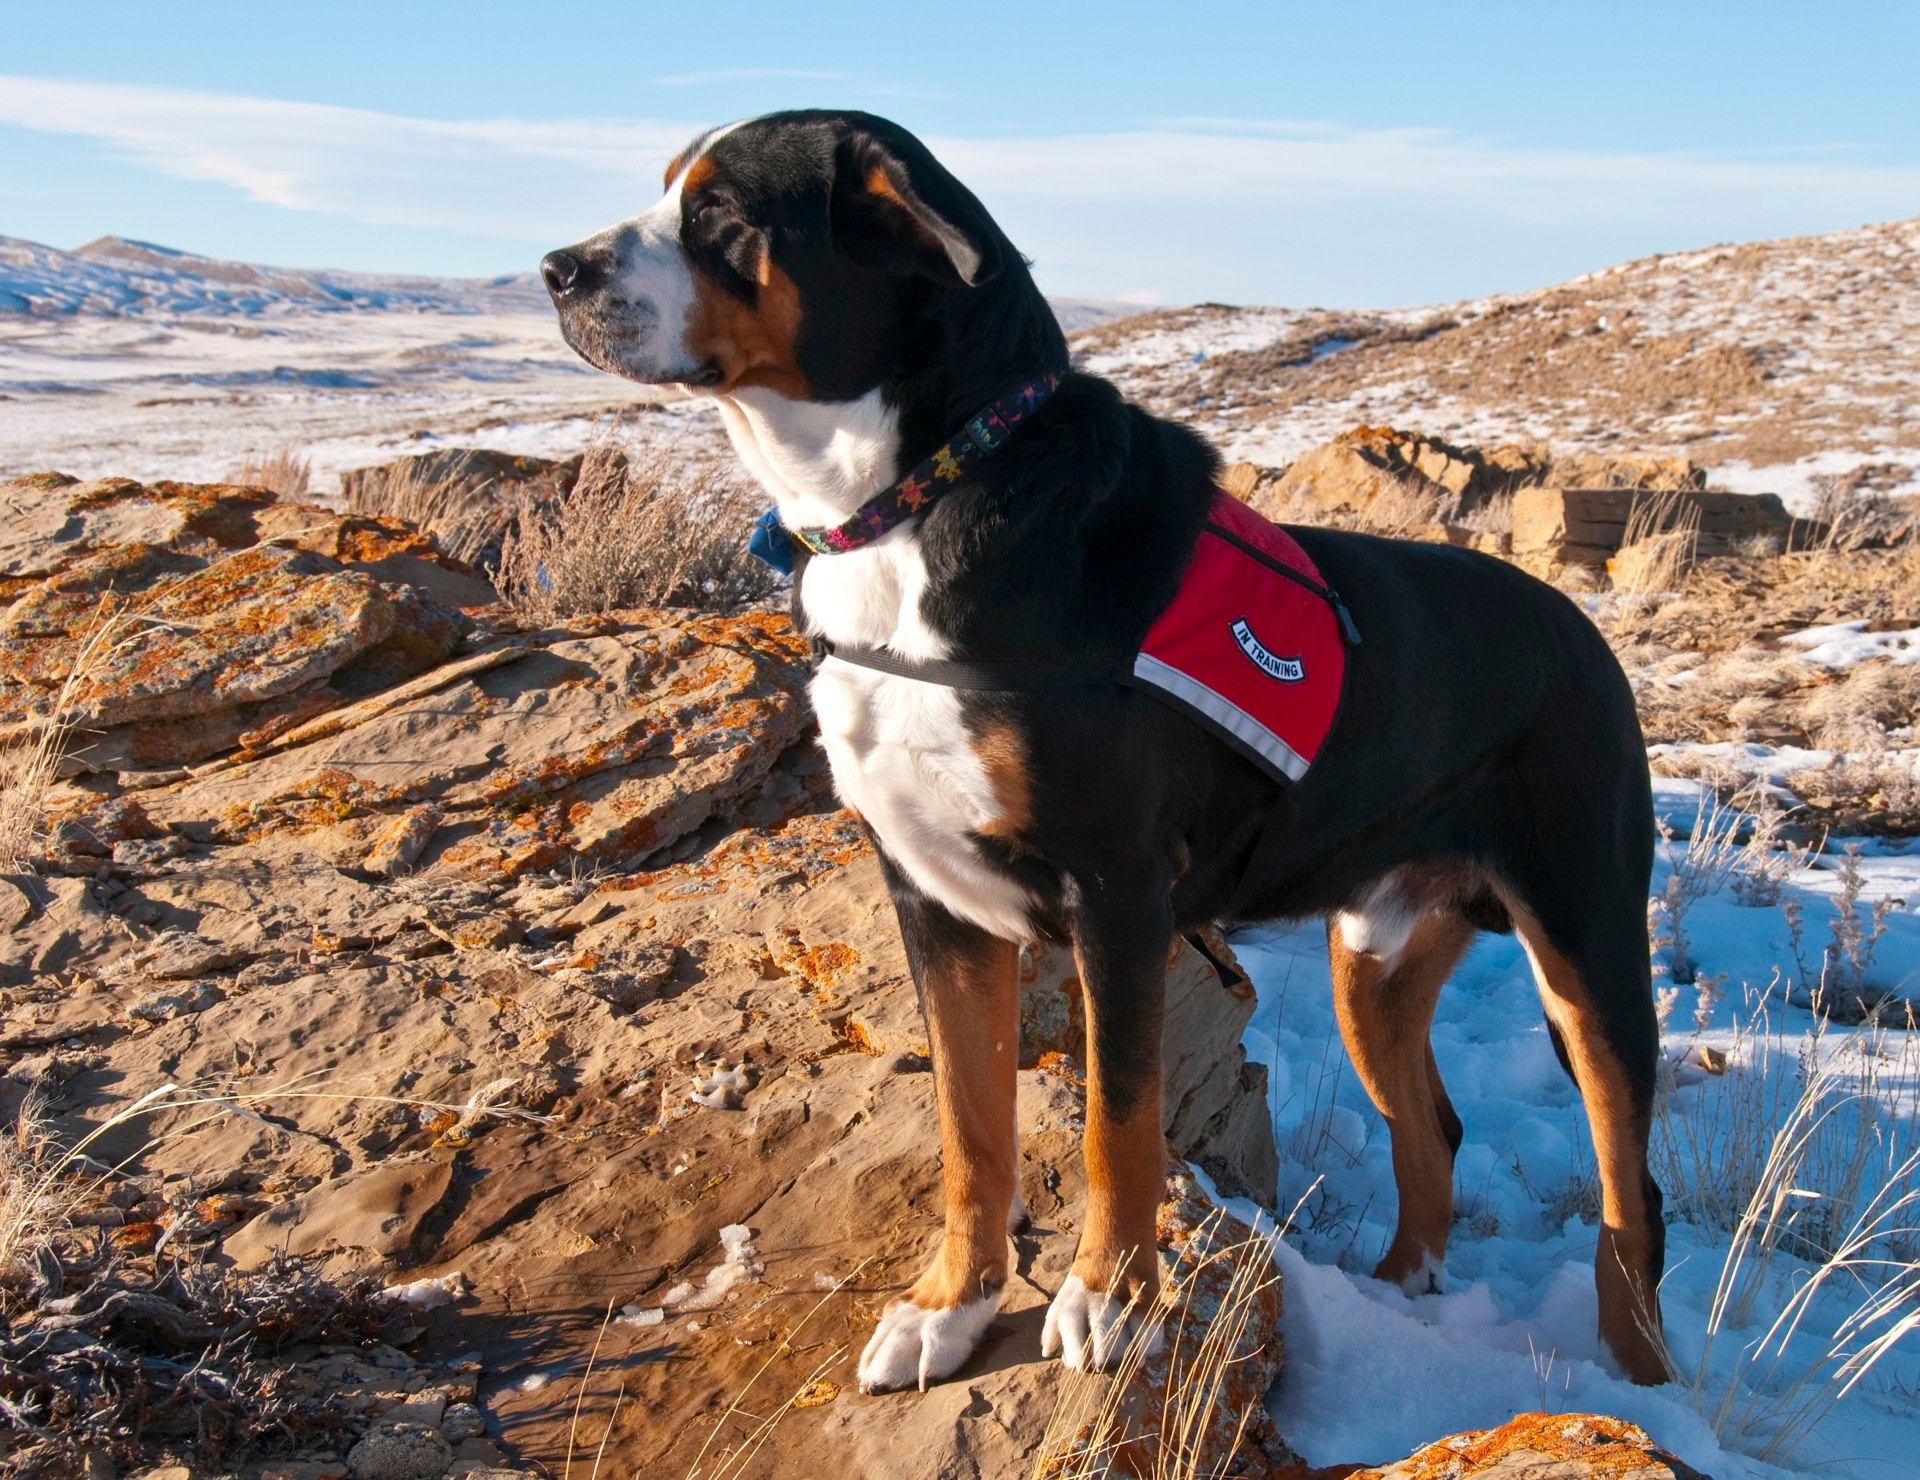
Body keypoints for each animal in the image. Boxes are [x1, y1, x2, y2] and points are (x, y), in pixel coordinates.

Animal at [541, 109, 1666, 1397]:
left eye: (722, 212)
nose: (556, 270)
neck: (921, 499)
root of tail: (1581, 629)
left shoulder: (1117, 893)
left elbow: (1116, 1123)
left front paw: (1113, 1298)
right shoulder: (934, 901)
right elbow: (972, 1127)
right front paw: (950, 1307)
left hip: (1586, 945)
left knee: (1632, 1190)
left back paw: (1643, 1385)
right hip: (1372, 961)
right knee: (1430, 1129)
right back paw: (1397, 1301)